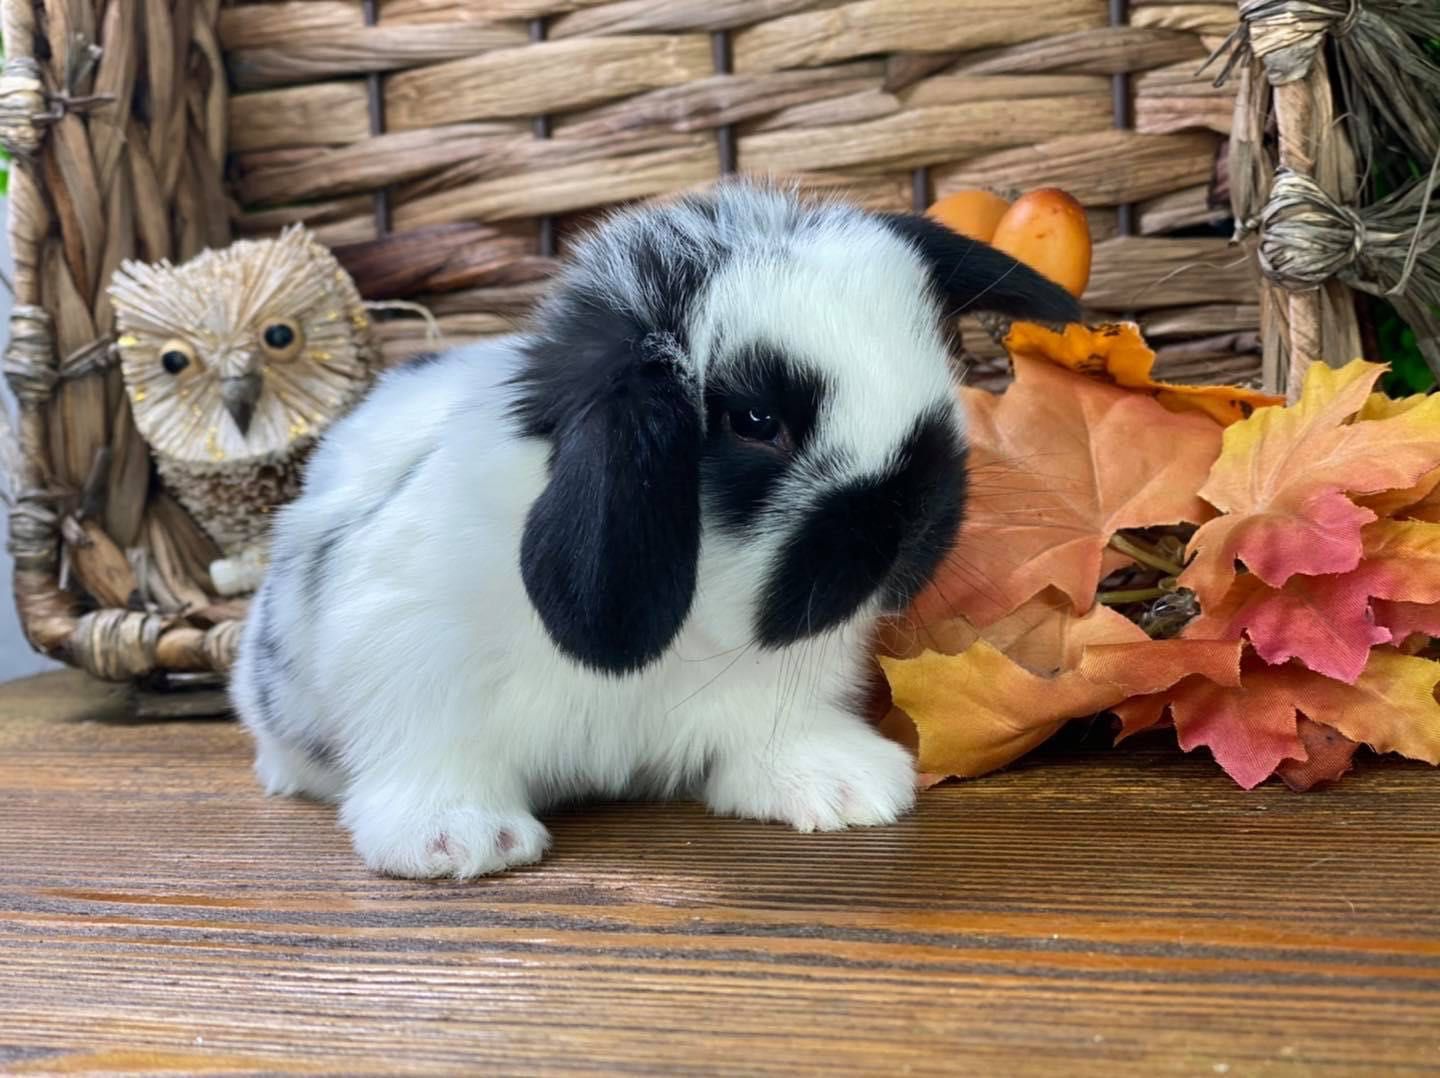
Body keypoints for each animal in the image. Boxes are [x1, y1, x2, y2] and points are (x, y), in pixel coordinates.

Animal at [230, 182, 1077, 875]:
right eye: (755, 421)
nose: (916, 524)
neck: (692, 627)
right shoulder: (414, 664)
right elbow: (438, 757)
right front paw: (459, 840)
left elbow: (770, 737)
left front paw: (846, 786)